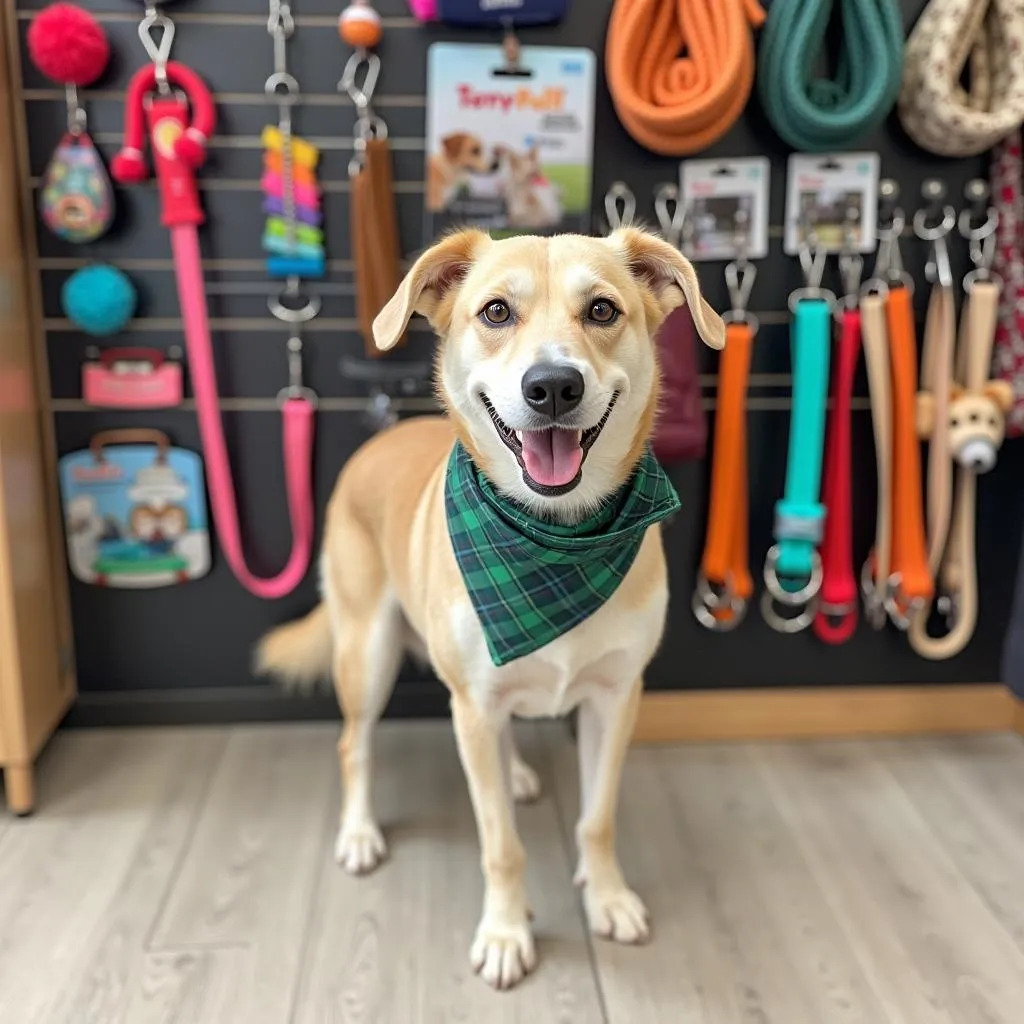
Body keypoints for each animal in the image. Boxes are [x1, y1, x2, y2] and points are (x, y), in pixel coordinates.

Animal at [253, 228, 720, 987]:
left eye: (602, 309)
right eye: (496, 312)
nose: (553, 385)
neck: (554, 540)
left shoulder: (615, 699)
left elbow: (597, 818)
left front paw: (607, 896)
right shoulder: (471, 706)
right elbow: (501, 843)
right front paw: (505, 932)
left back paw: (518, 774)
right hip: (368, 653)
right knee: (355, 744)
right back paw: (360, 832)